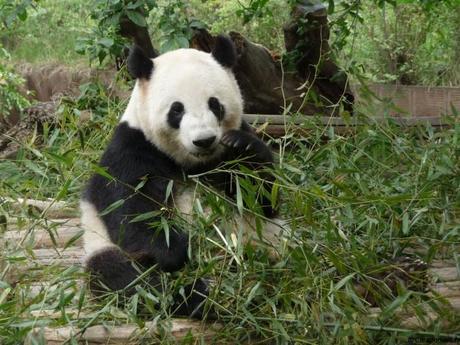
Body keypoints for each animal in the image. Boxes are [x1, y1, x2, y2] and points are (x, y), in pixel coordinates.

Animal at [81, 35, 286, 318]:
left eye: (215, 104)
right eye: (176, 110)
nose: (204, 140)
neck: (193, 163)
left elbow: (263, 198)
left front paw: (241, 147)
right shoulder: (132, 149)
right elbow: (130, 208)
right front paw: (175, 250)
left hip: (266, 243)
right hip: (102, 246)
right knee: (133, 280)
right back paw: (208, 294)